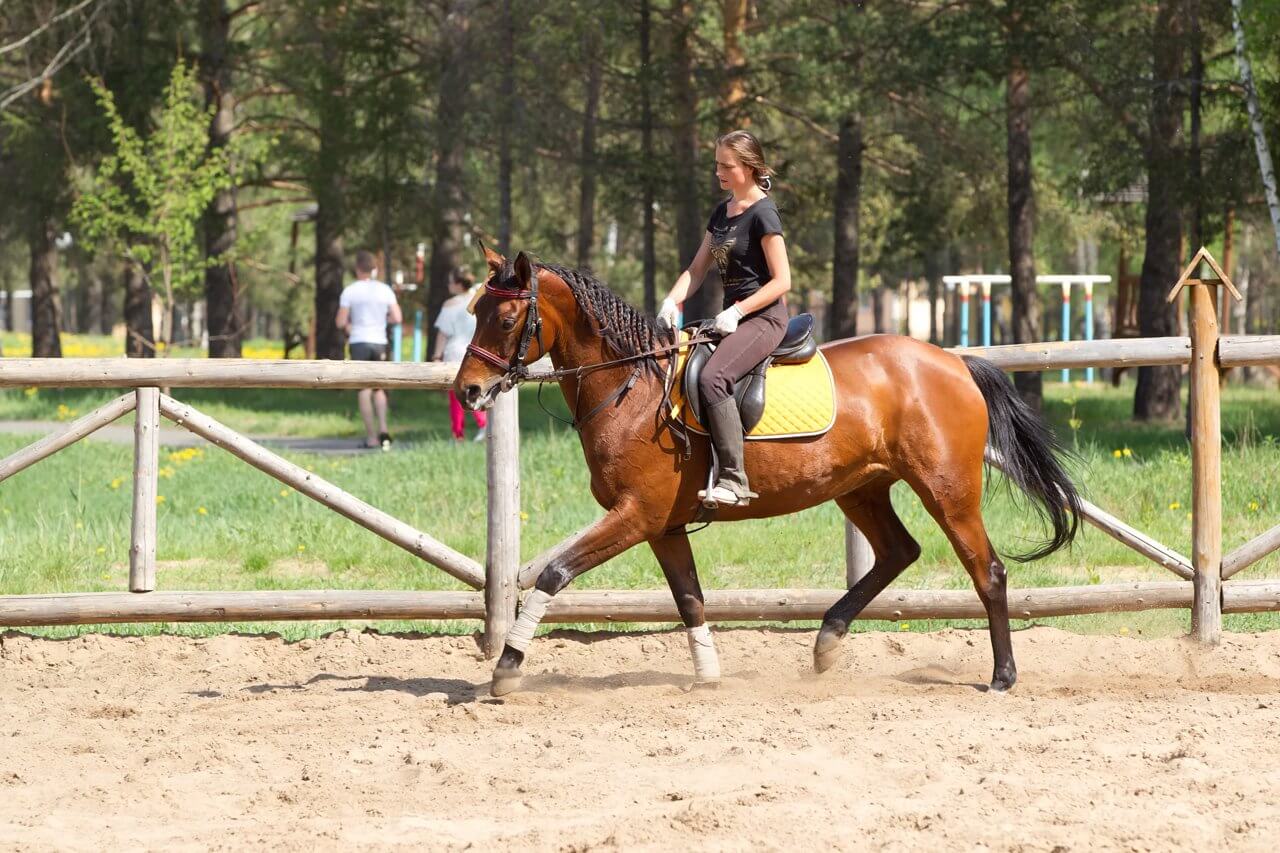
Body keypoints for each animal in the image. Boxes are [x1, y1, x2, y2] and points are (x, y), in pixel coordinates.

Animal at [458, 242, 1080, 696]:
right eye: (474, 312)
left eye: (507, 318)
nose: (468, 391)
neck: (630, 388)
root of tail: (954, 362)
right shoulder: (663, 526)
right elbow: (690, 598)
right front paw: (709, 678)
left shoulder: (636, 516)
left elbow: (554, 573)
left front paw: (507, 667)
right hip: (861, 488)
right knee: (899, 552)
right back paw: (827, 642)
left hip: (947, 490)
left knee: (988, 572)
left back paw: (1002, 677)